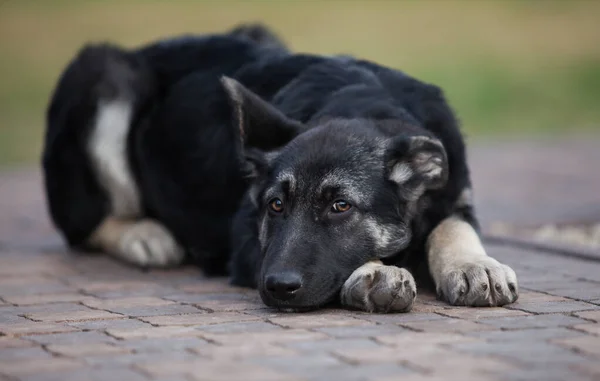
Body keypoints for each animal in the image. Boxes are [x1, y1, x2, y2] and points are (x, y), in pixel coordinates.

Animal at [43, 22, 520, 310]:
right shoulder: (246, 244)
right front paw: (374, 273)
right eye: (275, 206)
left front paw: (473, 264)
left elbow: (452, 227)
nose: (277, 288)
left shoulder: (454, 194)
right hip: (106, 75)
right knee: (84, 225)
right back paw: (144, 235)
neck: (364, 101)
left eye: (341, 207)